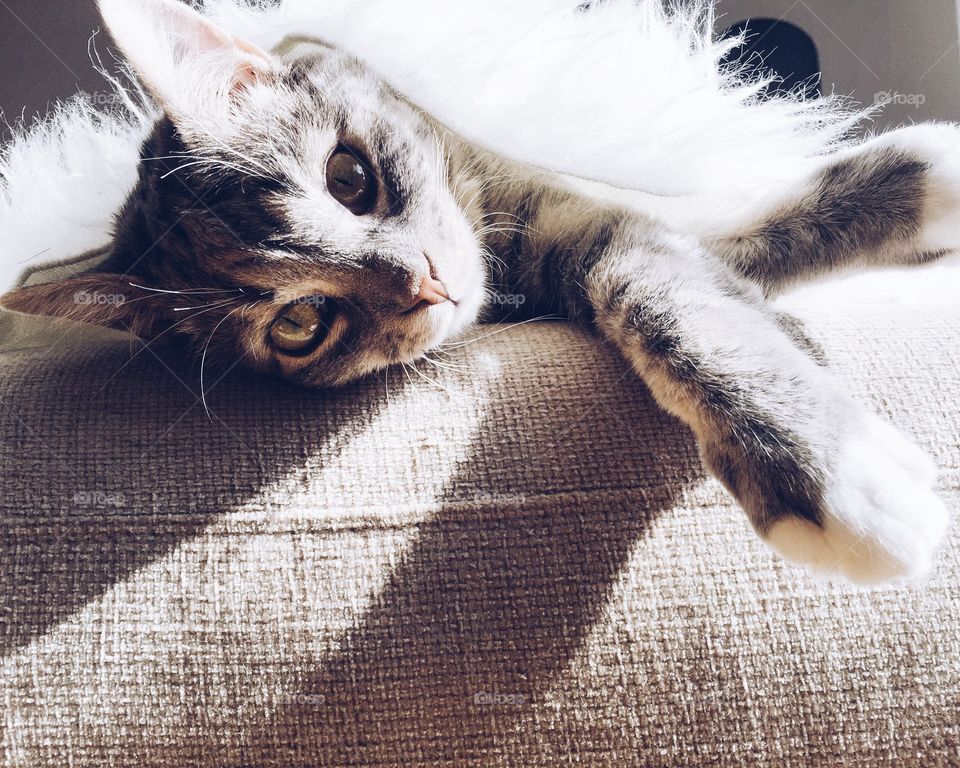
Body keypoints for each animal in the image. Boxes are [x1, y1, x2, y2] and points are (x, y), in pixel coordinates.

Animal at [1, 0, 952, 584]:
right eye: (300, 323)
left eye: (349, 178)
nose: (423, 282)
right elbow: (682, 272)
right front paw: (839, 477)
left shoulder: (550, 194)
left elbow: (693, 241)